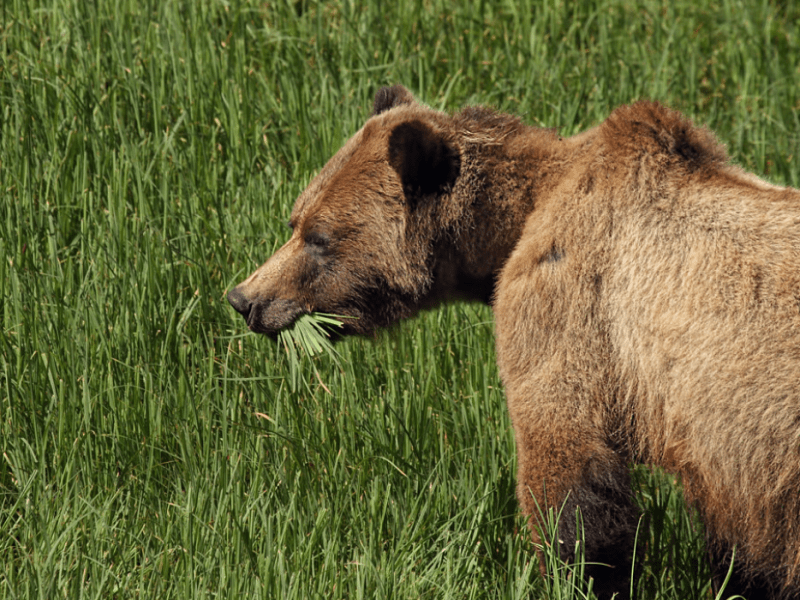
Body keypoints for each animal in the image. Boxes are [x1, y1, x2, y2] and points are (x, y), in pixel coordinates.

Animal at [228, 84, 800, 600]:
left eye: (319, 238)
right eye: (295, 219)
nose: (245, 299)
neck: (515, 224)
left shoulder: (572, 311)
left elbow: (567, 473)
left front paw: (581, 577)